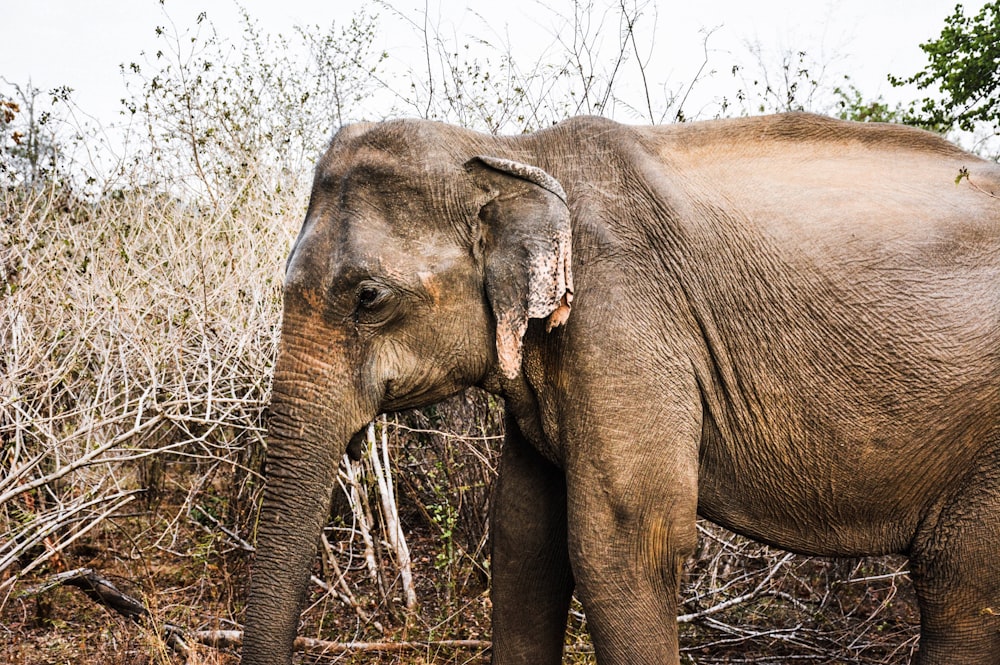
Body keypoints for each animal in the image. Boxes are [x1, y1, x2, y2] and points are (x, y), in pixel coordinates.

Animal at [240, 114, 1000, 664]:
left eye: (368, 297)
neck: (510, 152)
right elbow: (524, 537)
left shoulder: (626, 319)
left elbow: (627, 540)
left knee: (960, 581)